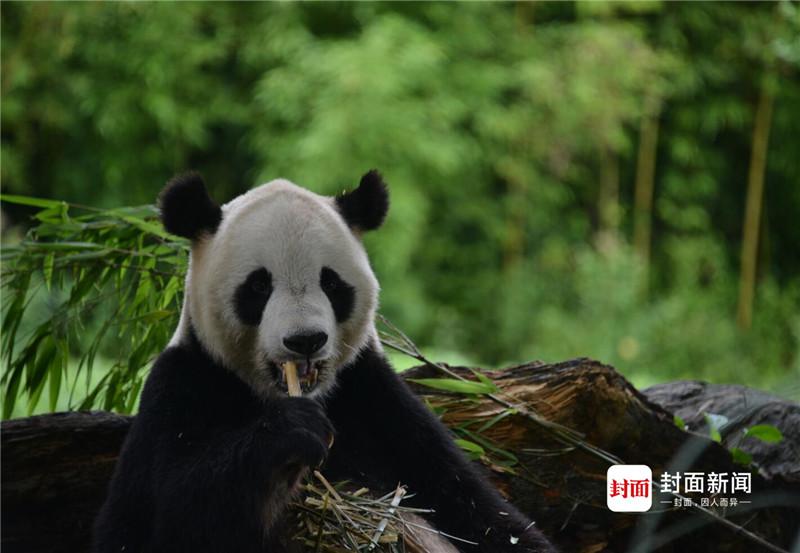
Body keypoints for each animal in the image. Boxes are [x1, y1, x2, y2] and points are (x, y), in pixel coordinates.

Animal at [94, 170, 556, 548]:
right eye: (258, 286)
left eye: (331, 283)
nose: (305, 340)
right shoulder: (182, 388)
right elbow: (162, 518)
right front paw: (291, 435)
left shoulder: (376, 398)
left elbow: (477, 509)